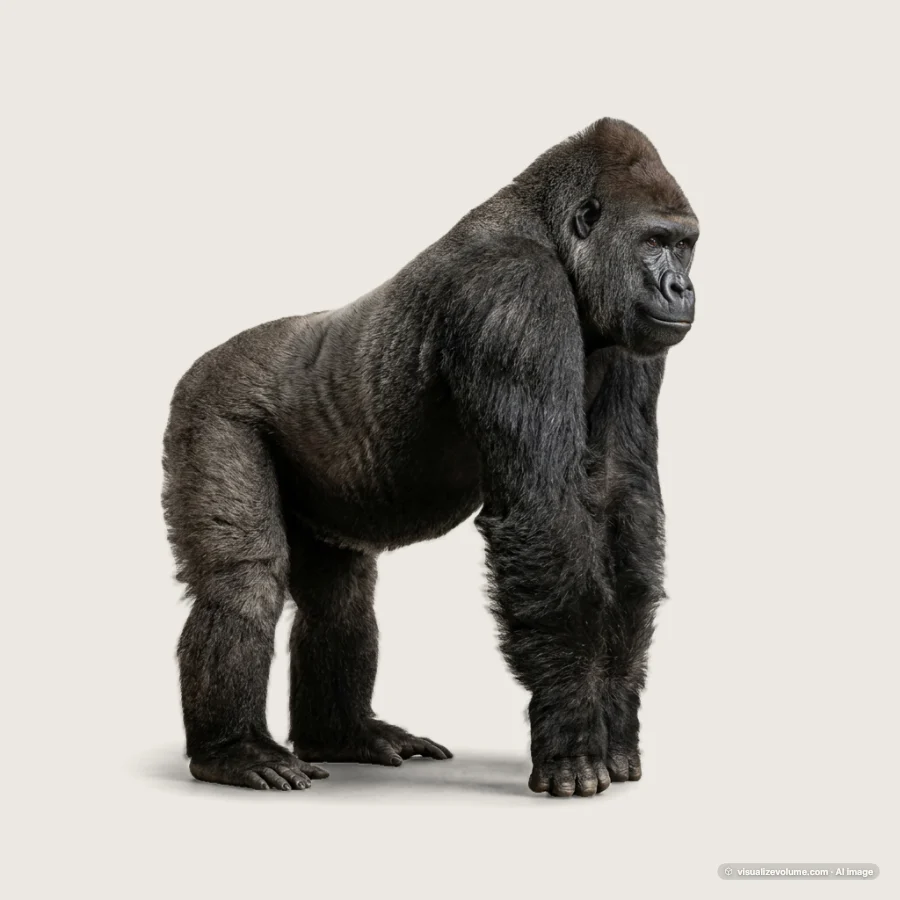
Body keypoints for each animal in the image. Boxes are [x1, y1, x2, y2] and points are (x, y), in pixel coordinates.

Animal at [162, 118, 698, 797]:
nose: (681, 287)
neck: (549, 232)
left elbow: (621, 496)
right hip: (208, 404)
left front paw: (617, 715)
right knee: (244, 579)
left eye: (686, 245)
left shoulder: (634, 333)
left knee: (339, 599)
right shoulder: (513, 294)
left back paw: (342, 734)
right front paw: (573, 724)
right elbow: (543, 509)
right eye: (655, 242)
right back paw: (232, 750)